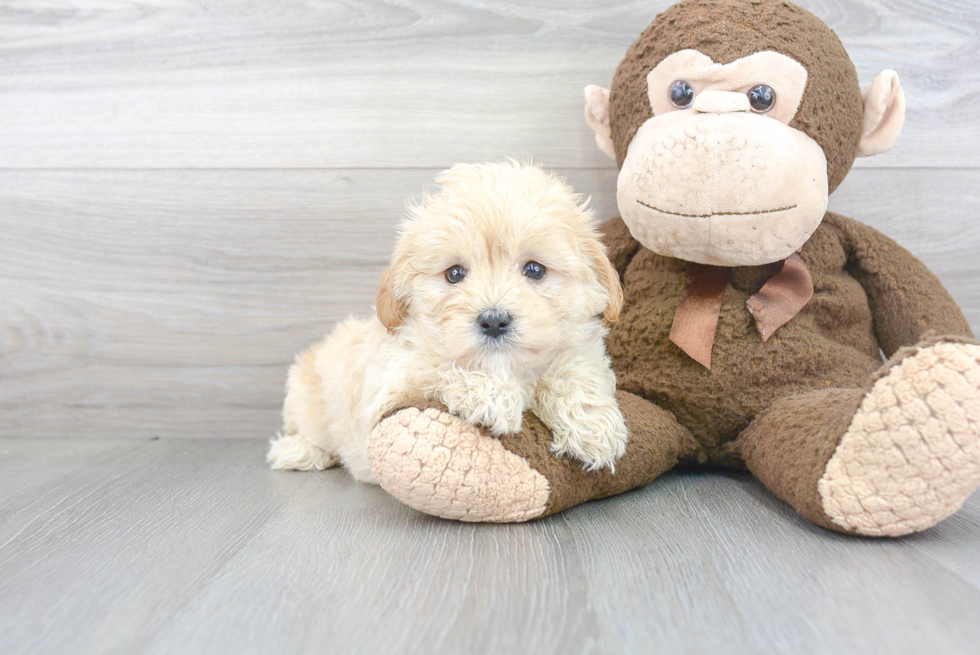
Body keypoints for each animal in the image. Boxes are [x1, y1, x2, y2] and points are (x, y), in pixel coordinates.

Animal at [266, 164, 628, 482]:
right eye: (454, 273)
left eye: (535, 270)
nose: (494, 321)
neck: (509, 368)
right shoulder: (393, 383)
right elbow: (442, 368)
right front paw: (495, 397)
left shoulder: (580, 352)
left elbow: (573, 372)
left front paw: (593, 425)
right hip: (306, 402)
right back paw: (295, 451)